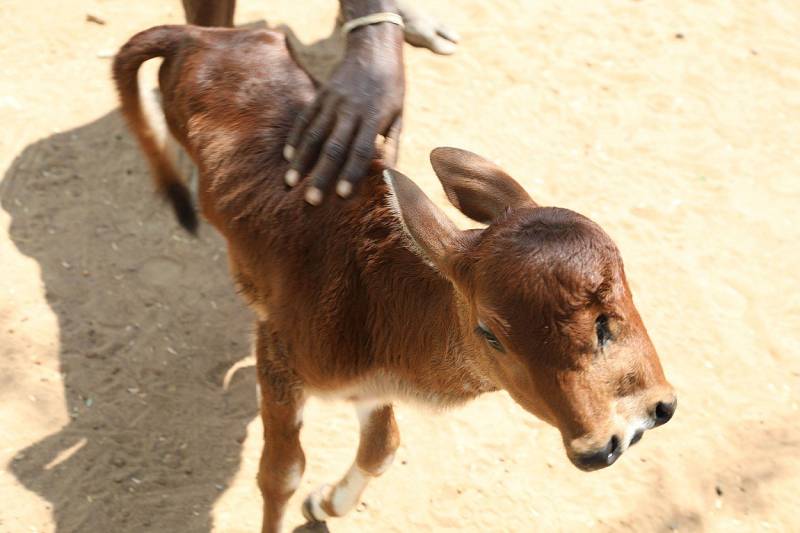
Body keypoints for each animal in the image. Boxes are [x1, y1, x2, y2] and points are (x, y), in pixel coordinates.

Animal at [112, 25, 676, 532]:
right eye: (490, 333)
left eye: (611, 311)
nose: (615, 436)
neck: (375, 300)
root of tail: (198, 36)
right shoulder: (278, 355)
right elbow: (281, 473)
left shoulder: (373, 387)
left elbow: (381, 448)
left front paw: (325, 504)